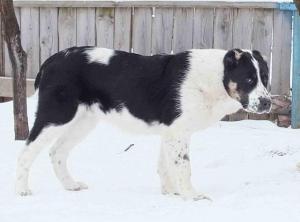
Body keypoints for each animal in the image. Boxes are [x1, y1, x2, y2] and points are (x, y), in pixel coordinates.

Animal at [15, 46, 272, 199]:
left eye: (265, 78)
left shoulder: (170, 133)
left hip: (83, 121)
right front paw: (192, 196)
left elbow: (165, 166)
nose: (268, 103)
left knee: (57, 152)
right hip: (56, 115)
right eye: (249, 79)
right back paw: (22, 190)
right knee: (26, 151)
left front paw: (171, 194)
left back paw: (71, 185)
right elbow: (183, 166)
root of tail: (51, 60)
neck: (215, 78)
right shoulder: (178, 133)